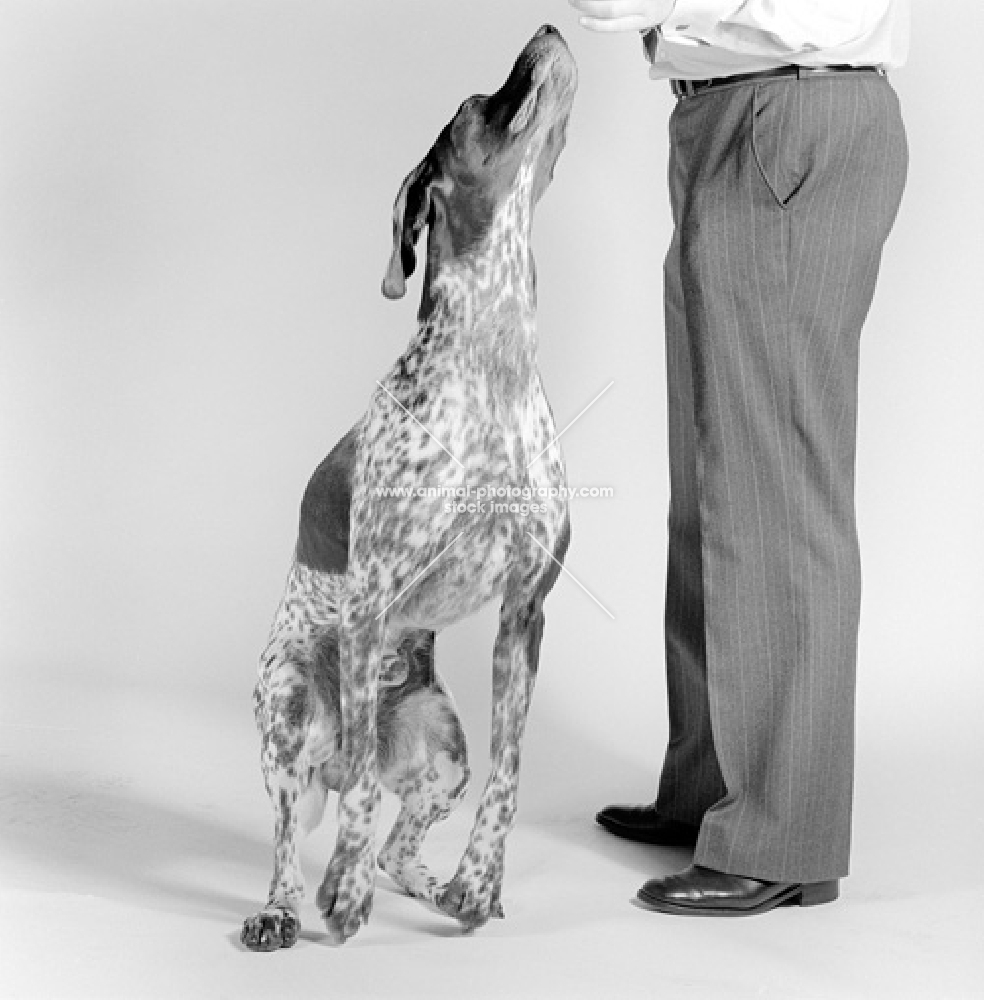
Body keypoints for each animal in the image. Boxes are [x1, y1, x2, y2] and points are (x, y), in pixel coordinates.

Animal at [240, 21, 576, 944]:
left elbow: (511, 774)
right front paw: (342, 891)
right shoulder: (367, 609)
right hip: (288, 711)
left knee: (399, 838)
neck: (494, 353)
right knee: (294, 831)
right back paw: (283, 909)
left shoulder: (525, 615)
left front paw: (476, 880)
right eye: (471, 105)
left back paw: (436, 889)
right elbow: (356, 798)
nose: (550, 27)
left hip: (440, 744)